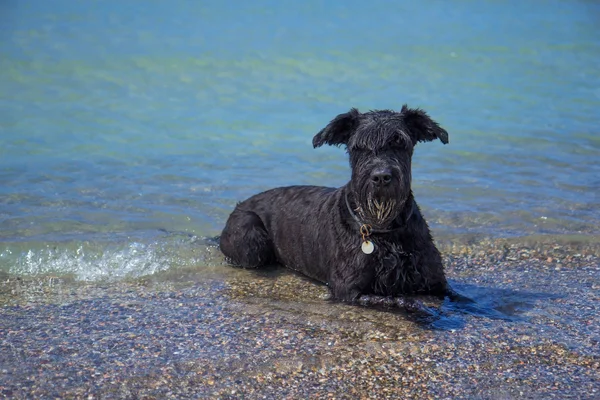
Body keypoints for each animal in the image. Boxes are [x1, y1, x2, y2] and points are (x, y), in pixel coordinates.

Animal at [220, 104, 460, 310]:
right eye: (358, 147)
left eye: (399, 142)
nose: (381, 177)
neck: (384, 230)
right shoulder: (349, 290)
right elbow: (398, 300)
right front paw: (418, 303)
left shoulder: (437, 281)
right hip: (250, 234)